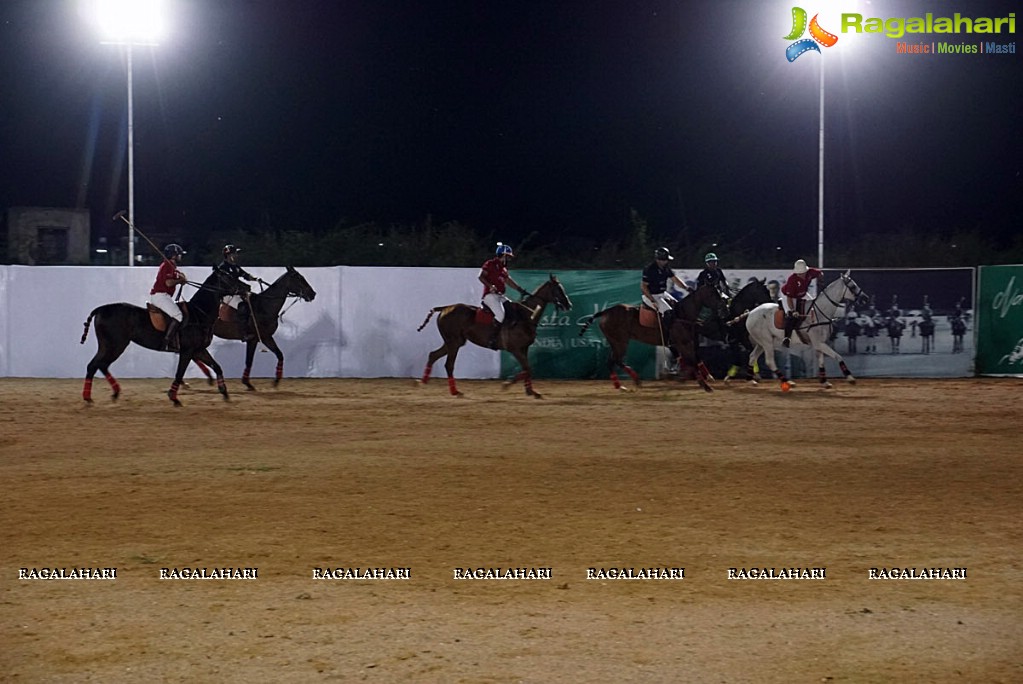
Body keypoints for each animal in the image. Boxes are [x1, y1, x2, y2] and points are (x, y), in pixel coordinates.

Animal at [80, 265, 244, 404]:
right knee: (96, 365)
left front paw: (225, 393)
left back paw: (110, 393)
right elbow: (179, 373)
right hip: (115, 344)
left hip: (110, 345)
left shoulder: (199, 350)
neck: (199, 314)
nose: (246, 287)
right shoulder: (187, 351)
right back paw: (90, 397)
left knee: (99, 365)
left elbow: (217, 367)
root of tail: (101, 309)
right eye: (228, 276)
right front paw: (174, 397)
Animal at [417, 274, 576, 396]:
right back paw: (454, 391)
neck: (525, 315)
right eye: (558, 289)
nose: (569, 305)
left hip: (454, 341)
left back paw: (422, 382)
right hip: (454, 342)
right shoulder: (515, 349)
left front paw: (530, 391)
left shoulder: (524, 348)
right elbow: (528, 368)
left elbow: (527, 369)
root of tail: (444, 308)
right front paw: (507, 384)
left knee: (433, 355)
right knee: (449, 365)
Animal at [576, 282, 728, 388]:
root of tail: (606, 311)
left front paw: (707, 377)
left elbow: (695, 358)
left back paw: (629, 382)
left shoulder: (686, 342)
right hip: (620, 341)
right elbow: (691, 361)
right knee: (615, 360)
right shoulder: (682, 343)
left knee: (614, 361)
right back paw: (627, 383)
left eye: (719, 291)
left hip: (616, 341)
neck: (682, 314)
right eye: (713, 293)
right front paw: (703, 382)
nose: (725, 307)